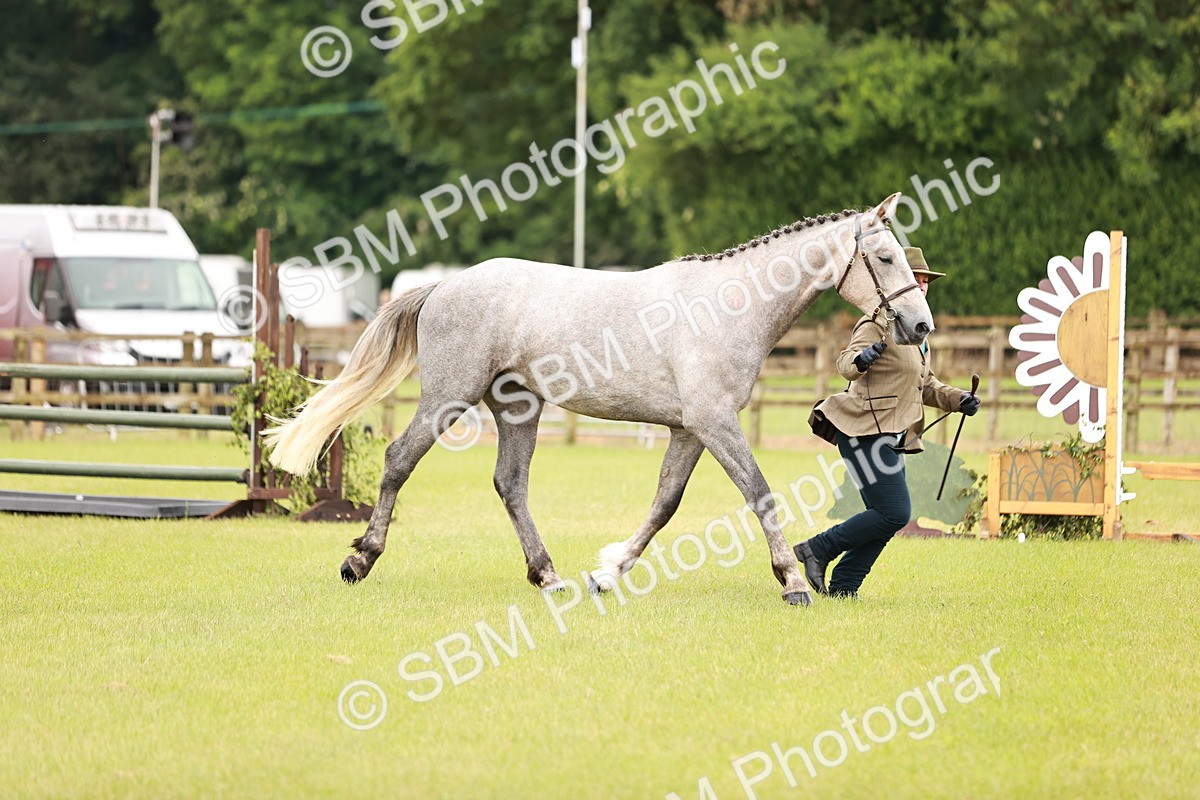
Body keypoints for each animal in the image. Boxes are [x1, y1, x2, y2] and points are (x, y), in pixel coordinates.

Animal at [264, 193, 933, 605]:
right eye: (883, 256)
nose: (920, 325)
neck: (730, 306)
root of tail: (446, 285)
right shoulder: (715, 422)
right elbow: (759, 492)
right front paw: (793, 581)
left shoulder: (690, 429)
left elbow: (664, 504)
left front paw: (608, 573)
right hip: (448, 398)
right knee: (400, 459)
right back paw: (360, 560)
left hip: (518, 408)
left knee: (510, 484)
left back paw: (549, 576)